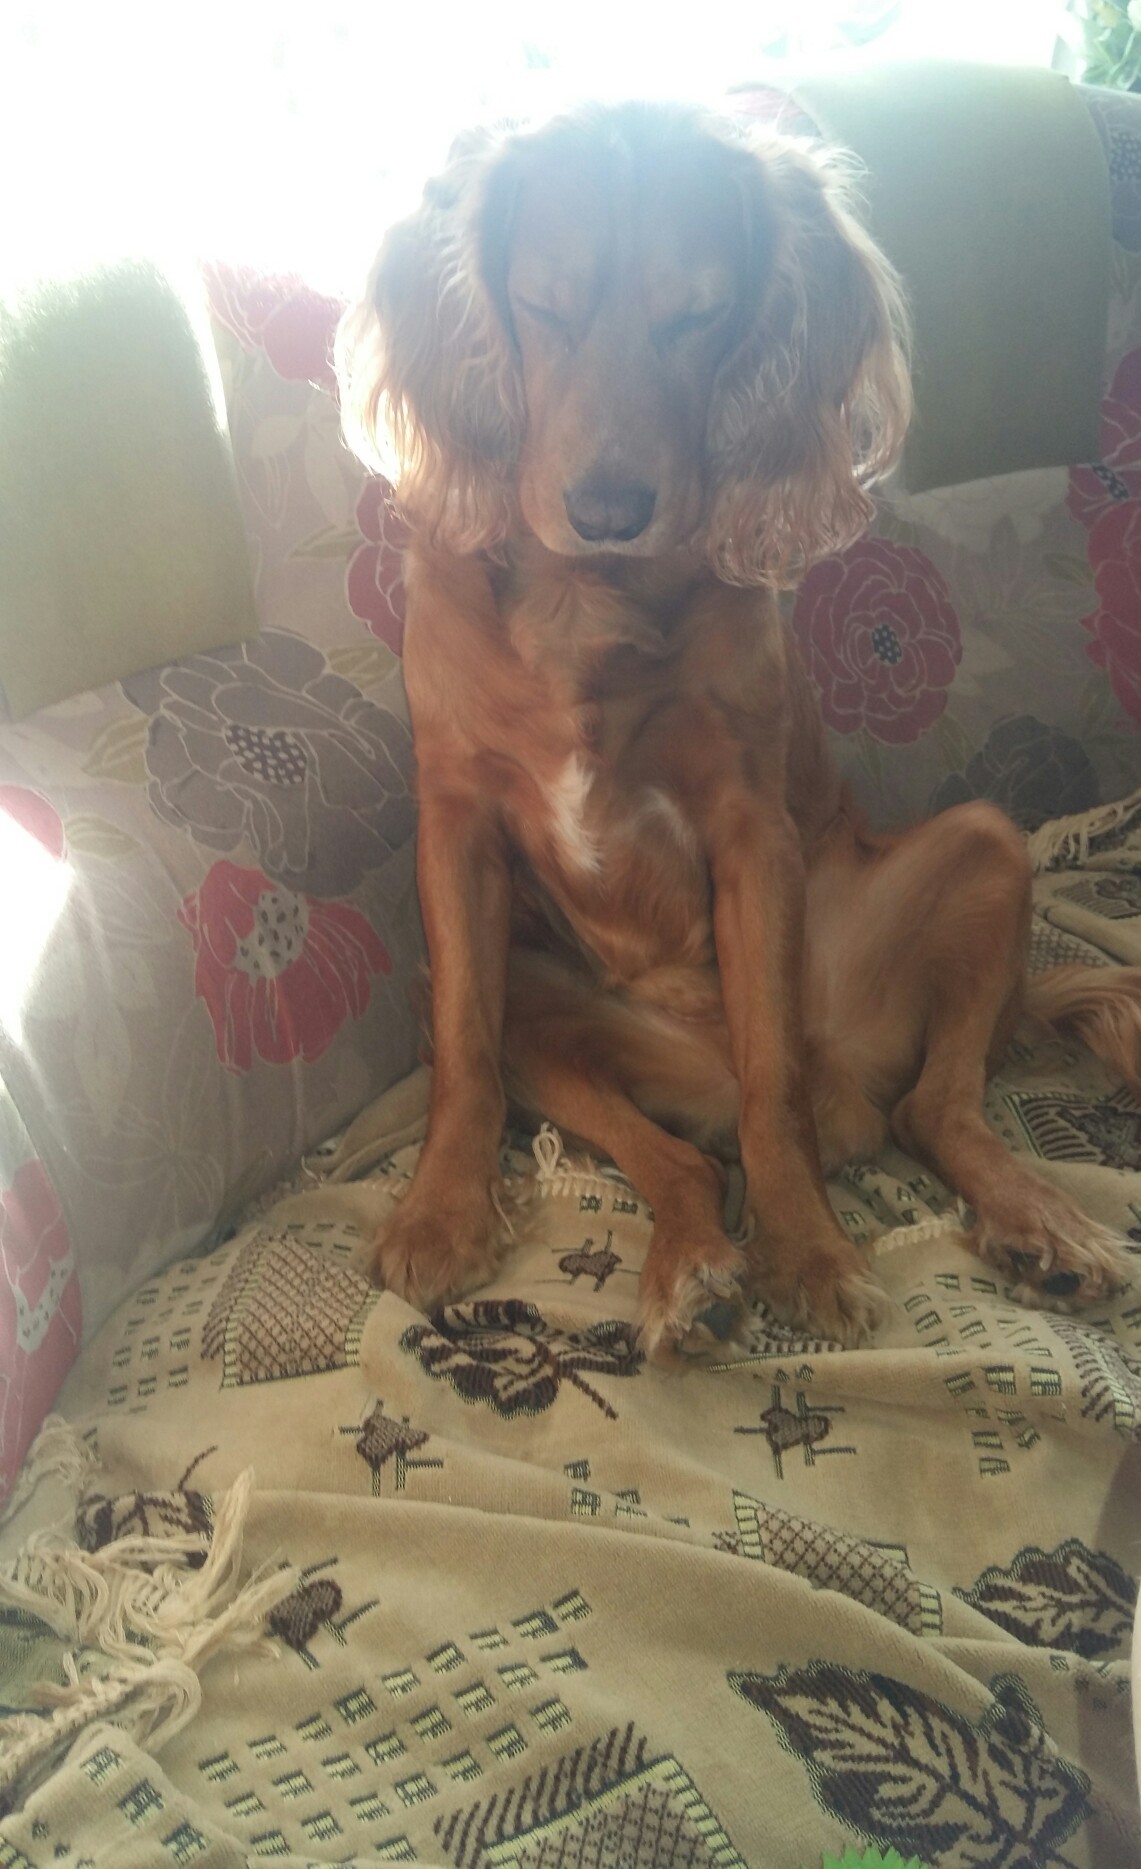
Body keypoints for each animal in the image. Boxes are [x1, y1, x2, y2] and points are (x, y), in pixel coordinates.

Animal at [336, 98, 1137, 1360]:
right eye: (542, 305)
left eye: (700, 316)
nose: (608, 508)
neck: (587, 604)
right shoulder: (455, 824)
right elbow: (465, 1051)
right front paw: (442, 1211)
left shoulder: (750, 832)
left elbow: (773, 1081)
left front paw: (806, 1249)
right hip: (545, 1009)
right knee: (678, 1160)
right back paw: (692, 1269)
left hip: (986, 849)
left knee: (927, 1106)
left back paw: (1035, 1222)